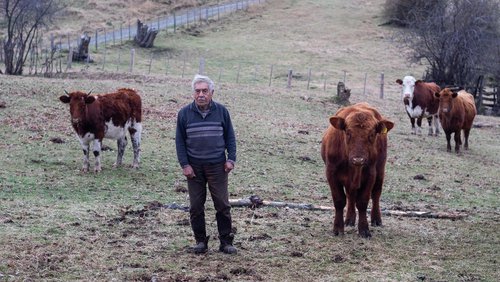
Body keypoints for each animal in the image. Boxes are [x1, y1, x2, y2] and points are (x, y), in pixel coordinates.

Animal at [320, 102, 394, 237]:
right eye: (348, 133)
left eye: (371, 134)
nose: (358, 160)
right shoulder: (331, 173)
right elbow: (339, 200)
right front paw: (338, 228)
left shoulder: (370, 174)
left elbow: (363, 201)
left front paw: (364, 230)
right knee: (351, 195)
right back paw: (349, 220)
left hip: (380, 169)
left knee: (376, 194)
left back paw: (376, 219)